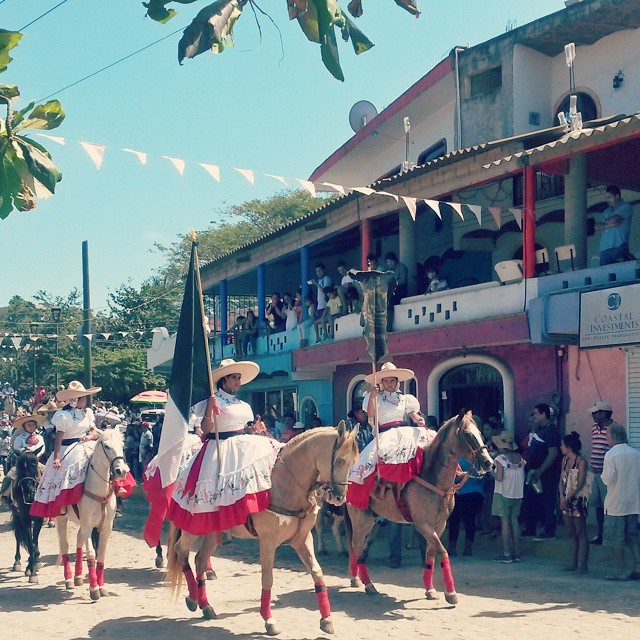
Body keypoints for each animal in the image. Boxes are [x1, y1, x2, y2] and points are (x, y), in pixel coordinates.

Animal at [1, 452, 44, 584]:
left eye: (34, 467)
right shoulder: (24, 517)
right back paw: (17, 562)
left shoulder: (39, 518)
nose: (29, 495)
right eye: (21, 469)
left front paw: (33, 564)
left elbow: (34, 542)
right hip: (16, 515)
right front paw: (32, 572)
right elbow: (30, 544)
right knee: (18, 536)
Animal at [56, 430, 129, 600]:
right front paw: (94, 589)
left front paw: (101, 587)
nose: (121, 471)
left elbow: (100, 555)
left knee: (78, 541)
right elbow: (91, 554)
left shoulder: (106, 527)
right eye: (107, 446)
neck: (99, 491)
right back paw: (69, 579)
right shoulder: (88, 524)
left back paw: (77, 577)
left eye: (122, 445)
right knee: (64, 545)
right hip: (62, 519)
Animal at [165, 422, 360, 636]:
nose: (339, 498)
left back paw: (205, 605)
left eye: (354, 462)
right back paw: (192, 598)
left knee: (199, 559)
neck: (286, 483)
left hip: (211, 533)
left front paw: (326, 619)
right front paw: (269, 620)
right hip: (193, 528)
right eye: (340, 460)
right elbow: (268, 579)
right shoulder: (268, 542)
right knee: (181, 550)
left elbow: (317, 572)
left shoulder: (302, 538)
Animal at [348, 412, 492, 604]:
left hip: (371, 519)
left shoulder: (440, 524)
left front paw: (430, 589)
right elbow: (442, 551)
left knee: (360, 547)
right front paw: (451, 593)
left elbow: (431, 553)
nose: (488, 463)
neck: (431, 477)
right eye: (468, 434)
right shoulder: (423, 524)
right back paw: (367, 584)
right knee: (356, 546)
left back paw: (357, 579)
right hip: (360, 518)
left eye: (480, 432)